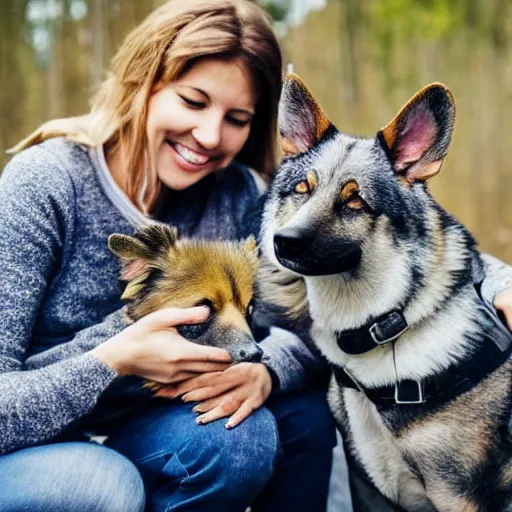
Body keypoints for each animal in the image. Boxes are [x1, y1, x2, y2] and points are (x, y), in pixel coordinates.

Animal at [260, 74, 512, 510]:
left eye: (355, 201)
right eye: (302, 189)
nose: (283, 242)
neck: (385, 327)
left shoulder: (458, 494)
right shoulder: (368, 486)